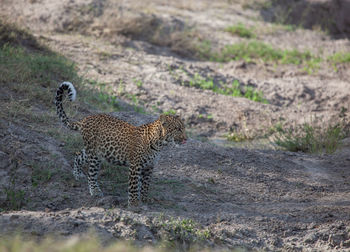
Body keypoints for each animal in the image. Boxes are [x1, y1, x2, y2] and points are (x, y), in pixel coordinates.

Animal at [54, 81, 186, 206]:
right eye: (178, 129)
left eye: (184, 128)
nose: (186, 139)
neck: (159, 143)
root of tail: (85, 119)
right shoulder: (135, 165)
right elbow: (134, 185)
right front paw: (134, 203)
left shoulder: (149, 166)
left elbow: (145, 185)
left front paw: (144, 199)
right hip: (94, 155)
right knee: (91, 174)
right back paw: (95, 191)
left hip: (94, 150)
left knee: (78, 155)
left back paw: (77, 174)